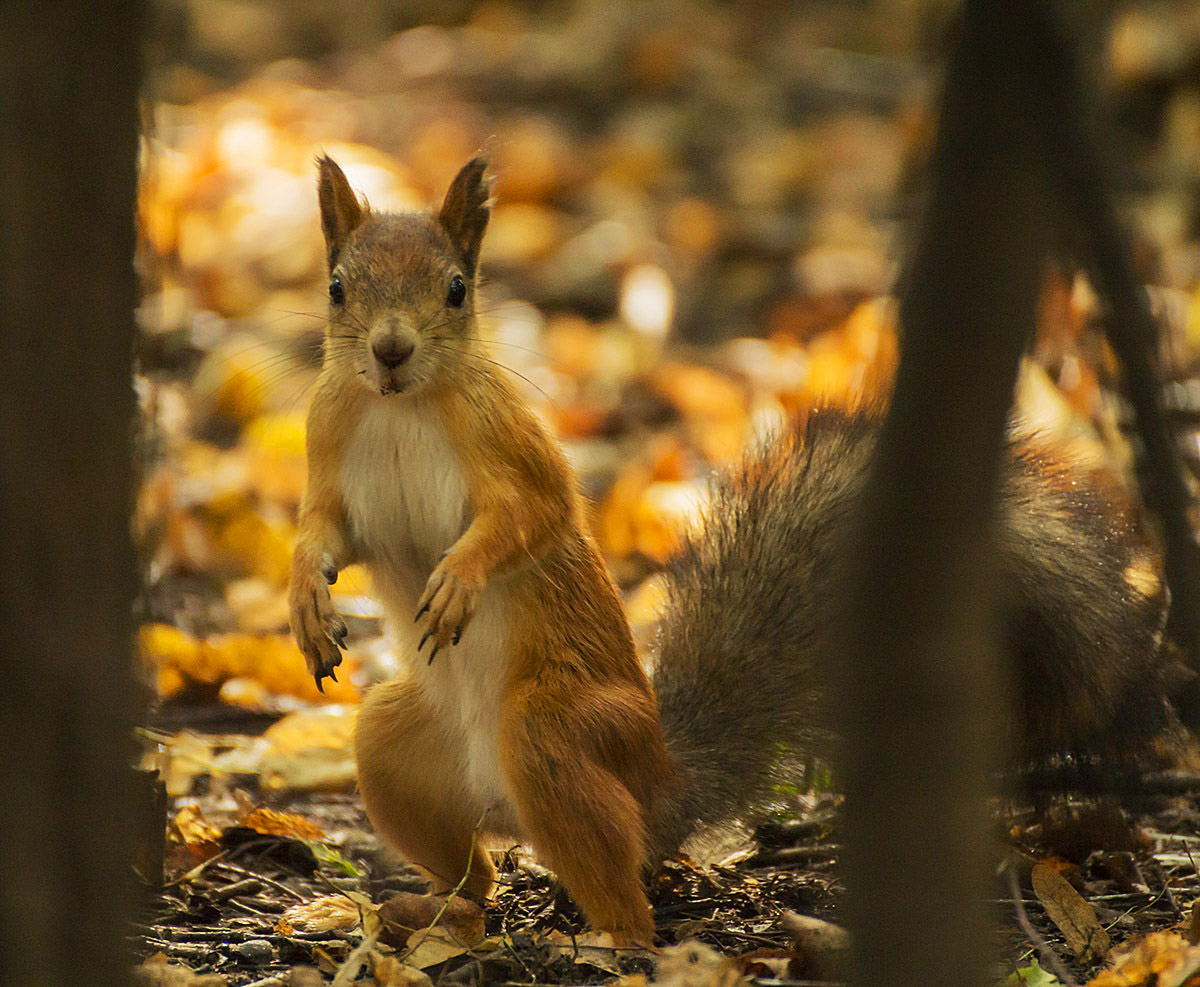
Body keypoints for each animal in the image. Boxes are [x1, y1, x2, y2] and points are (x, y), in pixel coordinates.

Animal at [288, 152, 1180, 941]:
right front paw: (307, 600)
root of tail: (662, 784)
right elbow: (322, 534)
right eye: (336, 287)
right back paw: (414, 909)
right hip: (396, 745)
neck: (400, 407)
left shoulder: (515, 450)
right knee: (478, 875)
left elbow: (532, 517)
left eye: (456, 289)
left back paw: (614, 941)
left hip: (563, 728)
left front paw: (460, 577)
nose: (390, 350)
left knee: (621, 886)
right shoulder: (329, 451)